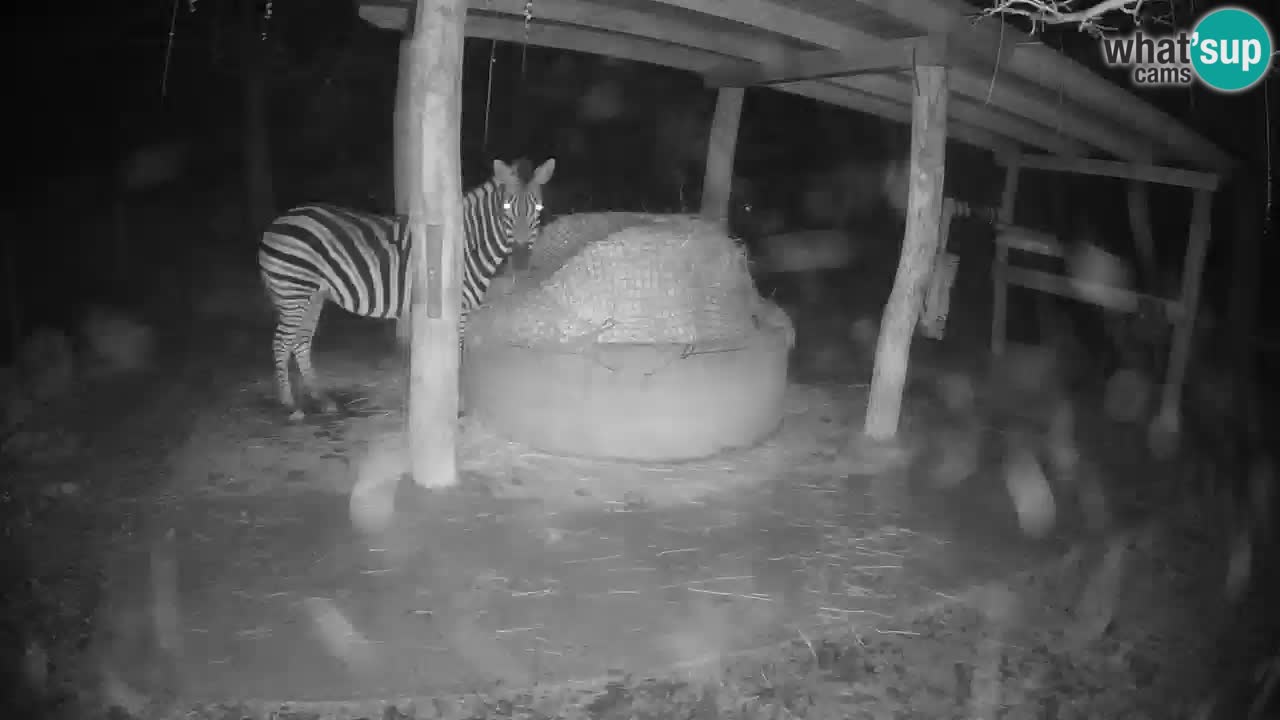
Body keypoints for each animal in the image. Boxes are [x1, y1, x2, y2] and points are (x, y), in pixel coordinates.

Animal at [258, 157, 556, 418]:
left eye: (539, 209)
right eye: (506, 208)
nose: (521, 261)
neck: (466, 246)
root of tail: (278, 221)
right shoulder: (456, 309)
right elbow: (457, 356)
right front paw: (456, 406)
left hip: (313, 294)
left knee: (301, 341)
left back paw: (322, 400)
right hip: (294, 291)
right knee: (281, 342)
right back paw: (290, 405)